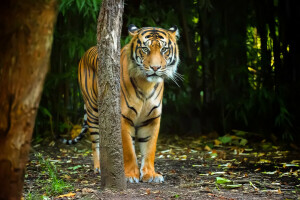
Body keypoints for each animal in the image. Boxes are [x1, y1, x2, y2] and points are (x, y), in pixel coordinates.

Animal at [68, 24, 180, 183]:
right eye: (145, 49)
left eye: (164, 49)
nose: (155, 68)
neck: (146, 85)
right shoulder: (123, 117)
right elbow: (128, 150)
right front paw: (130, 175)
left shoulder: (152, 119)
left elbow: (150, 148)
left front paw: (150, 174)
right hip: (93, 111)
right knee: (96, 143)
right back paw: (99, 167)